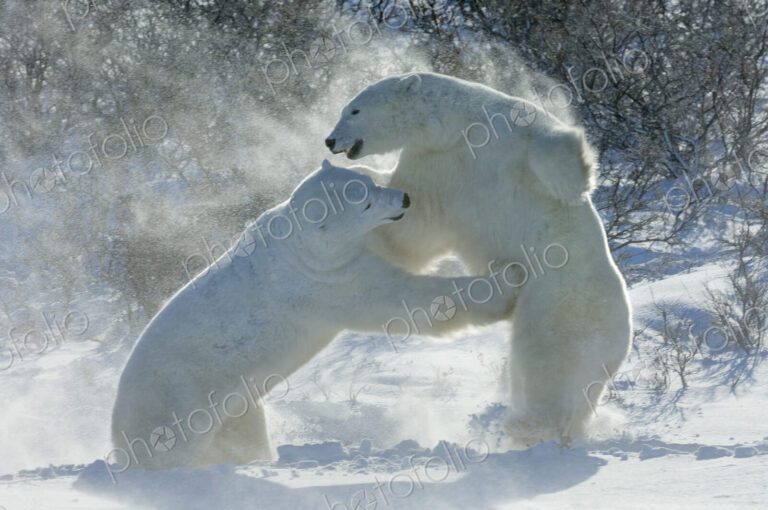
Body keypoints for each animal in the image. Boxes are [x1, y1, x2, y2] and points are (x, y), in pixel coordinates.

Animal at [110, 160, 518, 472]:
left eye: (368, 183)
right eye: (363, 204)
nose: (404, 198)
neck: (298, 242)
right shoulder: (329, 282)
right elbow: (403, 299)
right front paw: (506, 283)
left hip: (233, 406)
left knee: (243, 430)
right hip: (177, 405)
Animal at [325, 72, 633, 446]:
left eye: (354, 109)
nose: (329, 140)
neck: (454, 127)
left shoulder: (508, 130)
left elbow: (555, 151)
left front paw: (577, 176)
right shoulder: (436, 163)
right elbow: (416, 225)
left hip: (564, 304)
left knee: (549, 364)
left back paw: (528, 426)